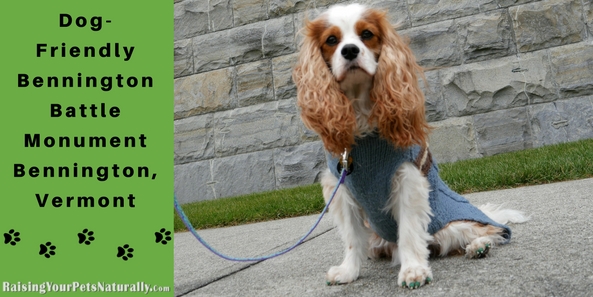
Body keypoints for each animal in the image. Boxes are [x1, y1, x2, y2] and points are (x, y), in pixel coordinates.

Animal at [292, 3, 528, 288]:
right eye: (331, 40)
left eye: (366, 34)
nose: (350, 50)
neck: (361, 114)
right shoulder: (341, 188)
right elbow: (351, 237)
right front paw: (348, 271)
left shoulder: (407, 180)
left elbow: (408, 231)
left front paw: (413, 270)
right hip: (379, 240)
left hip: (454, 224)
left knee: (491, 231)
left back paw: (479, 246)